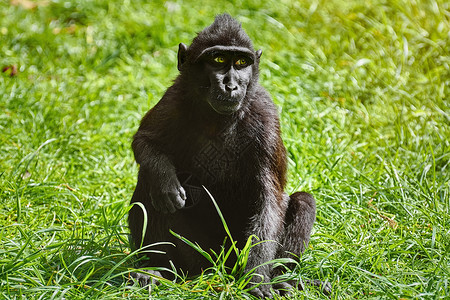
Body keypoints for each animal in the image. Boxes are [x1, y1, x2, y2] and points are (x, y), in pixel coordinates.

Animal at [128, 13, 322, 298]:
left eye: (241, 62)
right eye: (218, 60)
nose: (231, 86)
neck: (217, 119)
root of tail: (217, 269)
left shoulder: (265, 113)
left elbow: (269, 200)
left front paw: (256, 279)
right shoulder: (174, 98)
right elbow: (145, 141)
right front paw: (166, 181)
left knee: (303, 201)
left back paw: (282, 280)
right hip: (197, 255)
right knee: (148, 183)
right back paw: (157, 270)